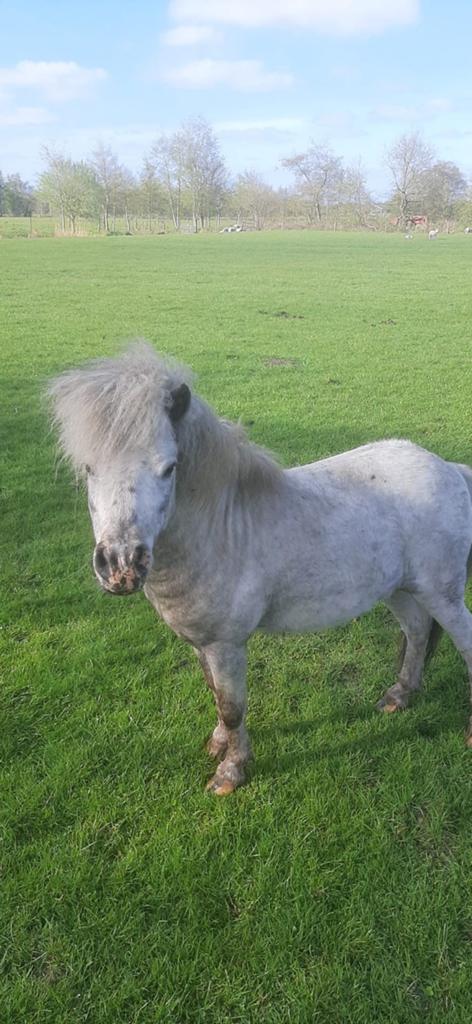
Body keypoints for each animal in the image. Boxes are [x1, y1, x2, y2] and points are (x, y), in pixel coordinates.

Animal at [48, 343, 472, 795]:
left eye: (169, 468)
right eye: (89, 468)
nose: (122, 566)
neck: (222, 529)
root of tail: (449, 468)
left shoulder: (226, 644)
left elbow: (232, 706)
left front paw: (231, 772)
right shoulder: (202, 644)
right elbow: (216, 694)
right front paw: (219, 745)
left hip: (442, 594)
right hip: (401, 590)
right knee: (417, 632)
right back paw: (399, 696)